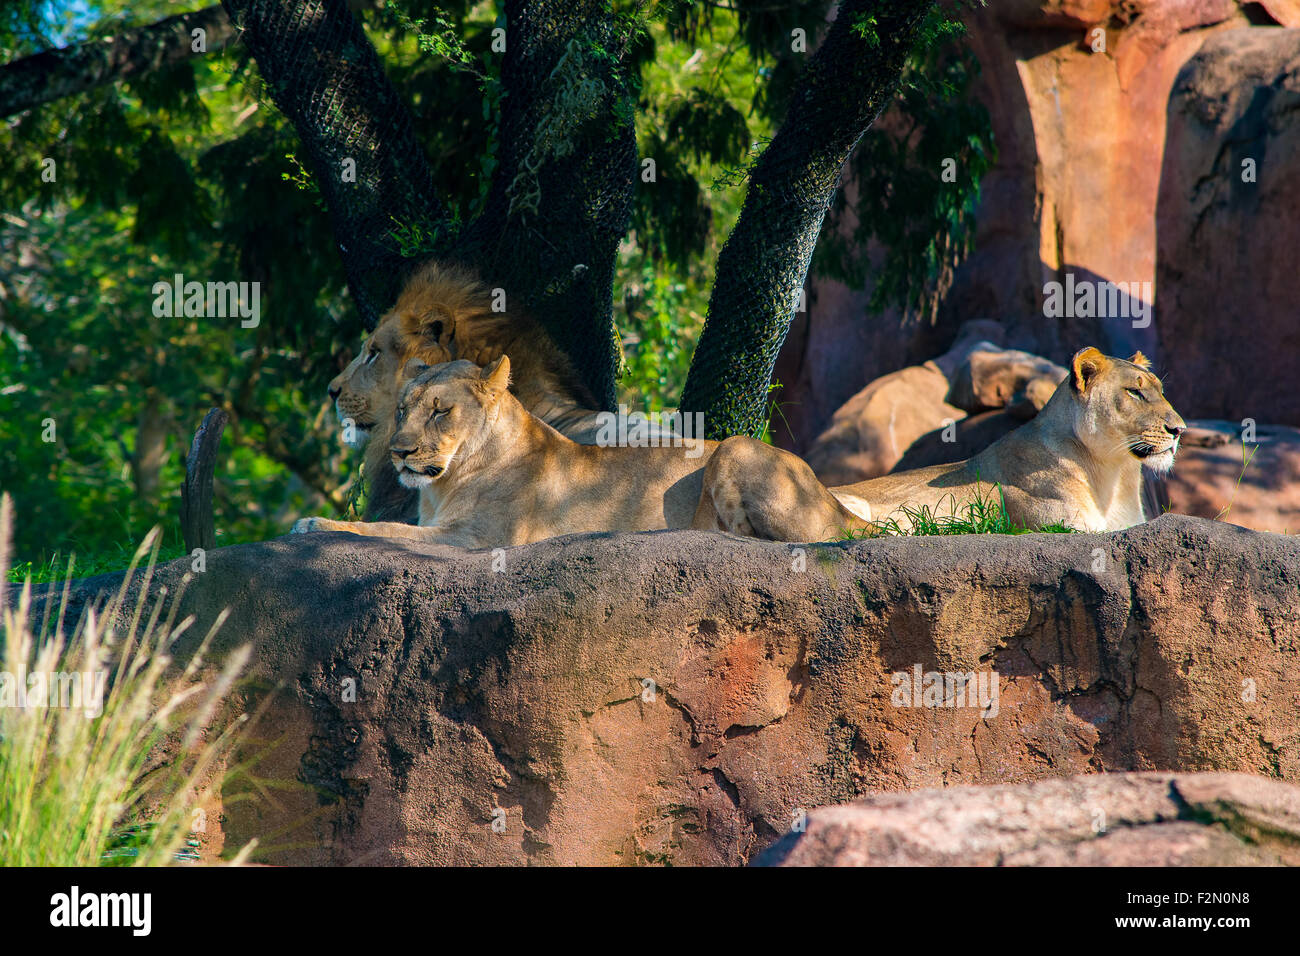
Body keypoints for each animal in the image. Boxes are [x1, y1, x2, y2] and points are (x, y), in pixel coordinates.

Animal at [298, 356, 713, 548]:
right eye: (402, 409)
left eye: (439, 411)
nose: (400, 451)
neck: (443, 485)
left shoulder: (477, 538)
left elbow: (386, 529)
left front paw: (315, 524)